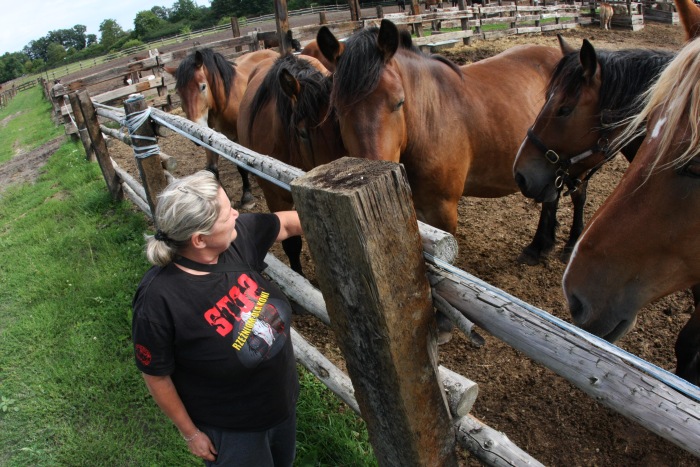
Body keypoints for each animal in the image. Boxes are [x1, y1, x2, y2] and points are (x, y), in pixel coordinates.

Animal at [165, 47, 278, 209]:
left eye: (203, 86)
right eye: (179, 93)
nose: (195, 128)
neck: (223, 102)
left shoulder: (236, 139)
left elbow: (241, 167)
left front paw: (247, 197)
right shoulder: (209, 136)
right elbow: (212, 169)